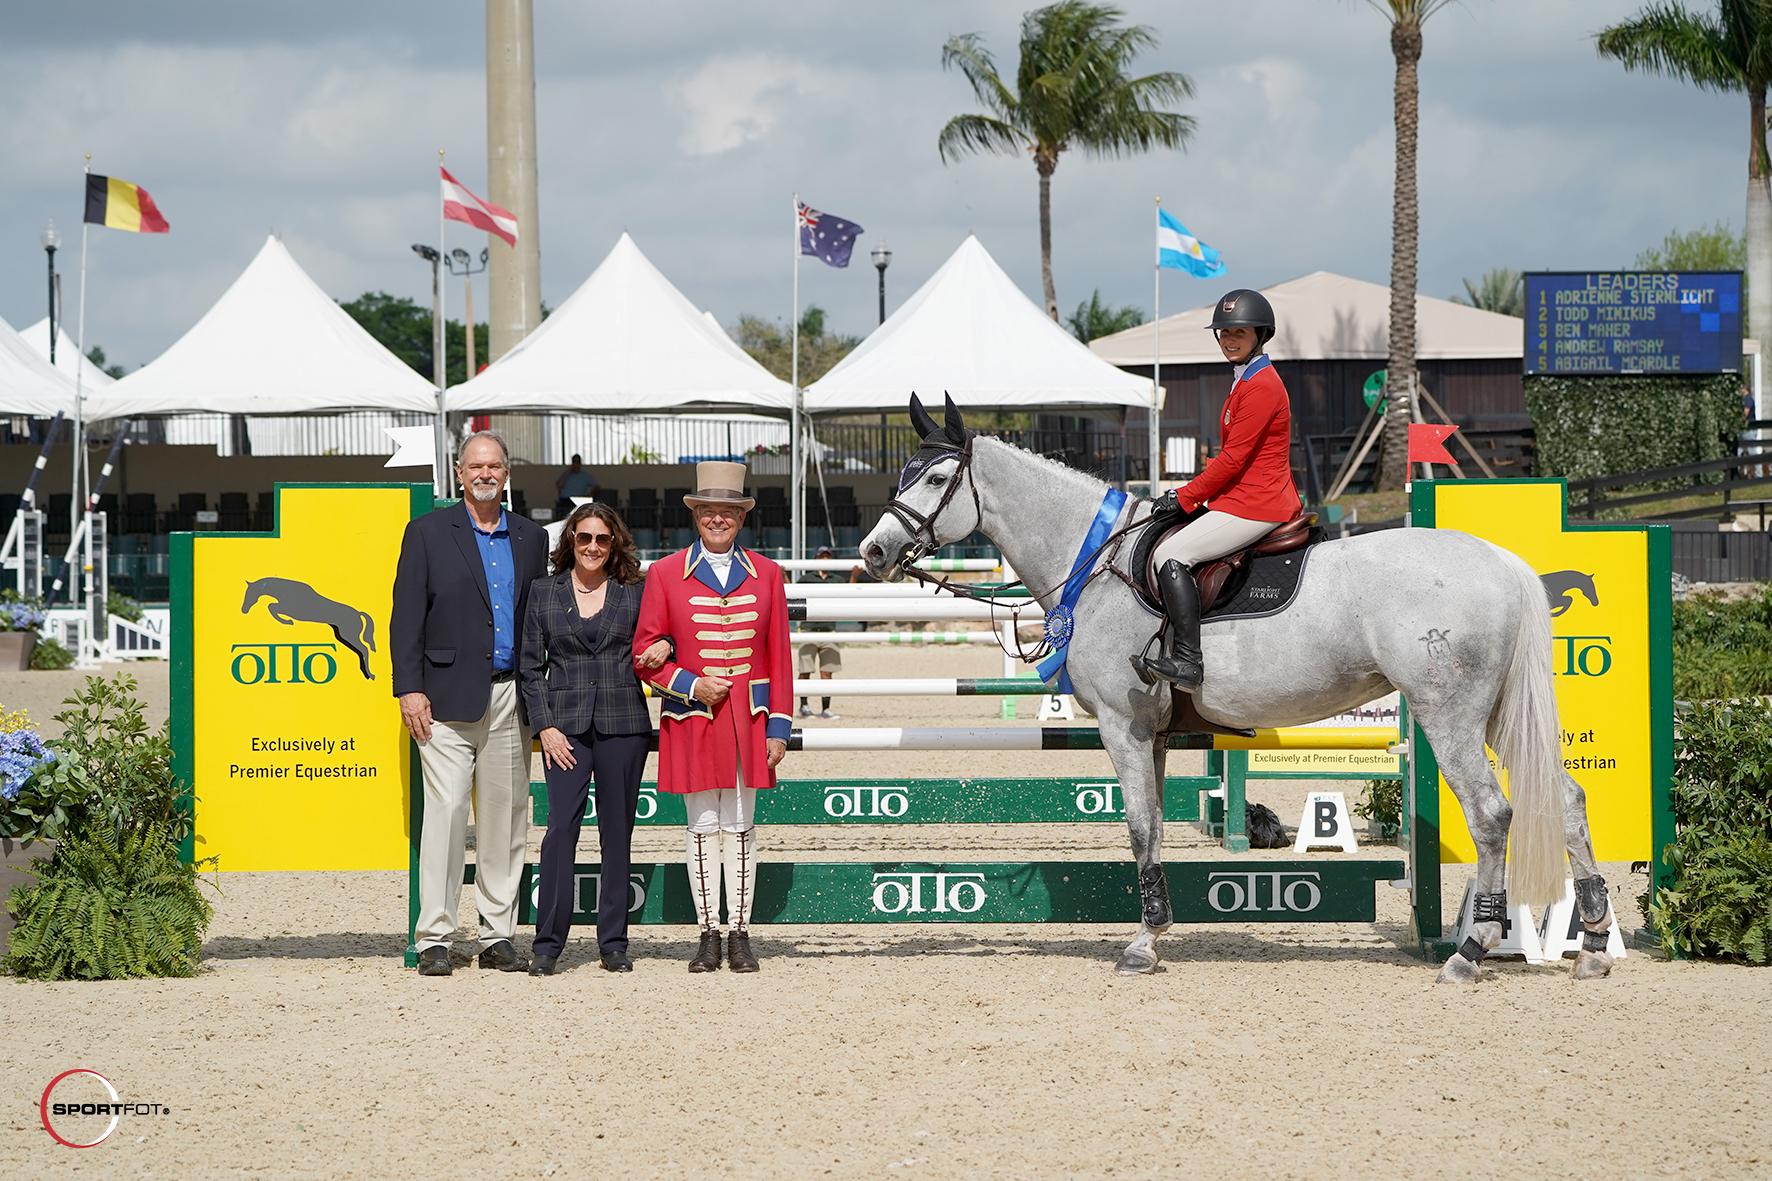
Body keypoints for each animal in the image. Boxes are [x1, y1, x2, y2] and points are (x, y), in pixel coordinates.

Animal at [857, 400, 1623, 978]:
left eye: (935, 478)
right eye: (905, 471)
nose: (872, 551)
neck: (1096, 559)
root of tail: (1499, 561)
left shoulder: (1122, 726)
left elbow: (1139, 827)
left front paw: (1143, 944)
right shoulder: (1152, 733)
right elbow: (1152, 823)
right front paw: (1155, 930)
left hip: (1449, 714)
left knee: (1492, 813)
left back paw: (1469, 950)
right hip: (1493, 714)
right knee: (1567, 797)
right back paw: (1591, 941)